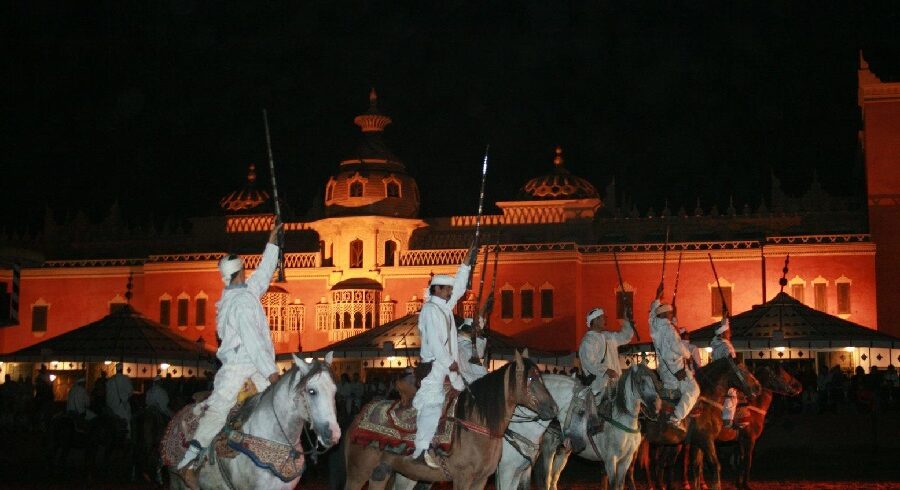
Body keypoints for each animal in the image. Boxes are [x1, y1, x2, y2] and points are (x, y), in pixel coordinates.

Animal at [342, 350, 556, 490]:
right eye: (531, 379)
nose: (553, 408)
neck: (479, 426)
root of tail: (357, 418)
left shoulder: (481, 480)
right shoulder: (463, 478)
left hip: (381, 473)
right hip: (358, 473)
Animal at [640, 356, 760, 490]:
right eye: (743, 370)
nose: (758, 387)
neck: (706, 403)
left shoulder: (697, 443)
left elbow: (696, 467)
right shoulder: (706, 440)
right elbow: (715, 466)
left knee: (660, 463)